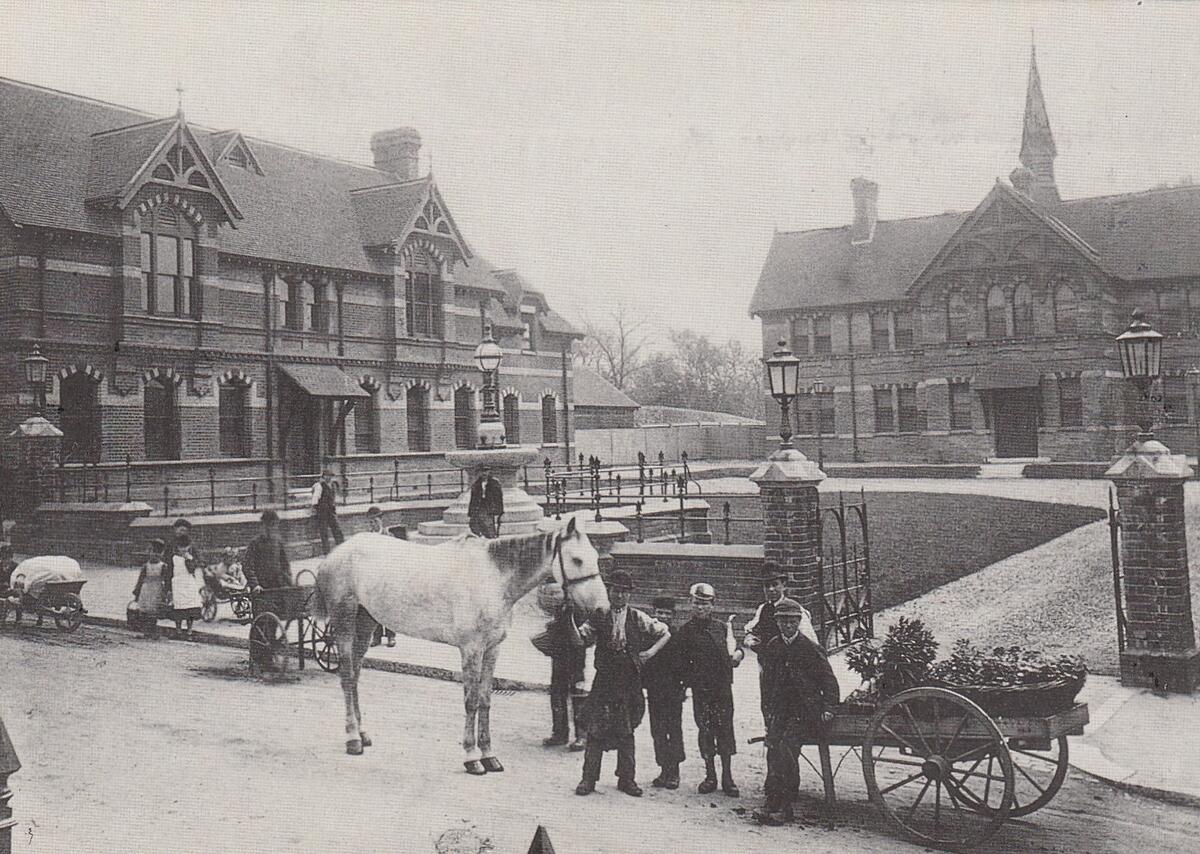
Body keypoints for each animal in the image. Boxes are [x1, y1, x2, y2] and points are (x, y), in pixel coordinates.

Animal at [314, 518, 609, 772]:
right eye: (577, 559)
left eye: (595, 557)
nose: (602, 610)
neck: (493, 579)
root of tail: (336, 552)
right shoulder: (471, 649)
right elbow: (471, 701)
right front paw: (471, 757)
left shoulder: (492, 649)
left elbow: (486, 700)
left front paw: (489, 755)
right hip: (344, 622)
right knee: (347, 676)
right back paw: (352, 738)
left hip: (366, 623)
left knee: (355, 676)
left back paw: (362, 733)